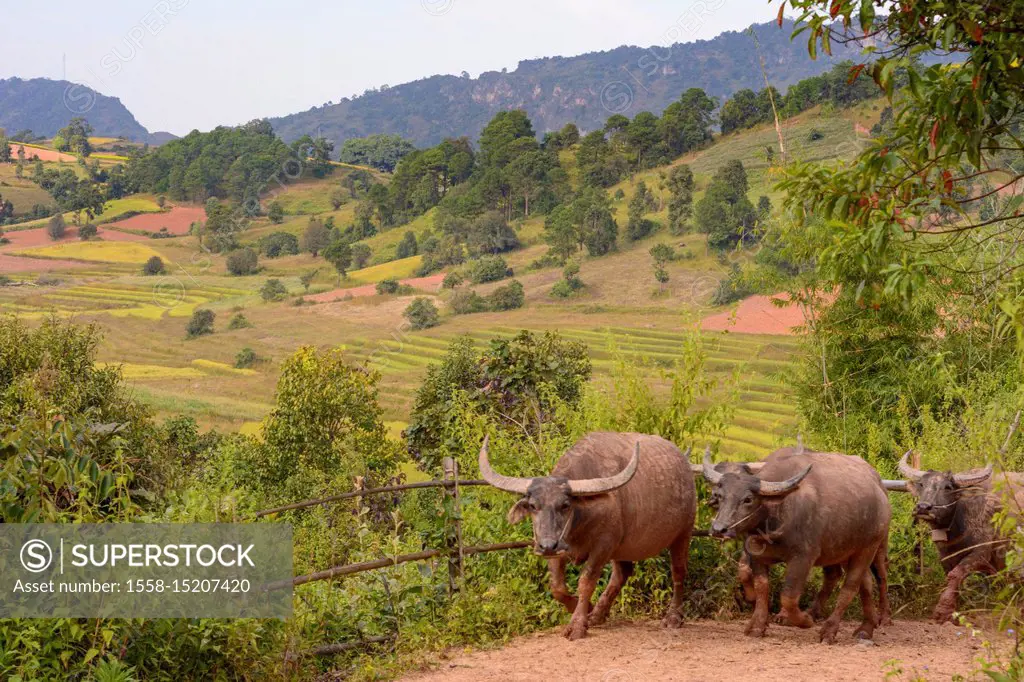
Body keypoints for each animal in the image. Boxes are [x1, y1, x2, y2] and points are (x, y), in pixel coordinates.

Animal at [479, 430, 696, 638]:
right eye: (533, 506)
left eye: (565, 505)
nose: (547, 545)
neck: (579, 523)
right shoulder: (559, 549)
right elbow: (557, 587)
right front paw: (585, 609)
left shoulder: (603, 546)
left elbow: (586, 581)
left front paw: (577, 625)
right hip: (622, 547)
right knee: (621, 574)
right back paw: (597, 615)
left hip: (683, 533)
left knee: (678, 571)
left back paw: (673, 617)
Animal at [704, 444, 888, 638]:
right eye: (721, 495)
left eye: (748, 499)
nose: (719, 529)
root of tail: (880, 492)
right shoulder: (757, 554)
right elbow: (761, 587)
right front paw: (757, 625)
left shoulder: (803, 558)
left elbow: (789, 596)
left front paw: (803, 620)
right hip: (845, 550)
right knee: (864, 583)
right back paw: (866, 627)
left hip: (871, 548)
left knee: (856, 585)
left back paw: (833, 629)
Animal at [901, 450, 1019, 622]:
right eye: (922, 484)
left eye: (948, 487)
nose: (923, 507)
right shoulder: (945, 556)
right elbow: (952, 576)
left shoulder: (980, 553)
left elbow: (956, 574)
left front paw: (943, 611)